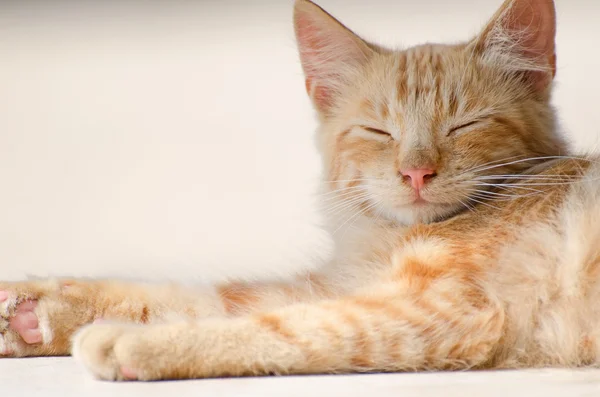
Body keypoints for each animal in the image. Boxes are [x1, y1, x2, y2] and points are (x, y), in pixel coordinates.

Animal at [0, 0, 596, 378]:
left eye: (464, 125)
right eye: (378, 131)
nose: (416, 173)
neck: (387, 237)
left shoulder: (442, 311)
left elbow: (283, 326)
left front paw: (132, 340)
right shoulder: (343, 282)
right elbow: (208, 295)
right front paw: (36, 311)